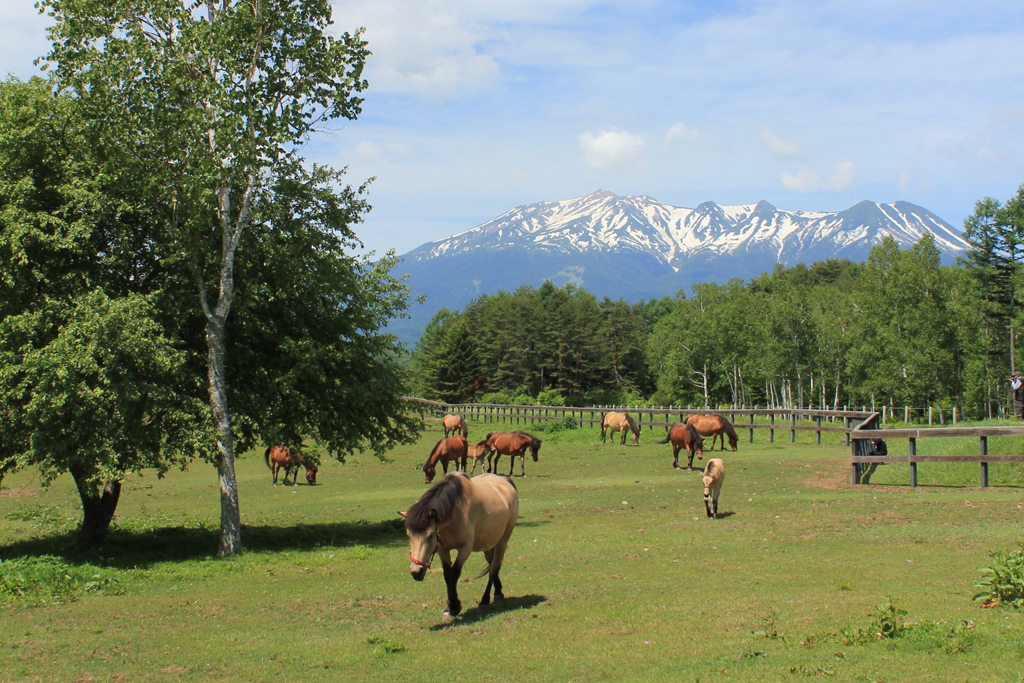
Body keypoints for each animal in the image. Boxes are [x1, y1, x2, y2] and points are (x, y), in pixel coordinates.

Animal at [401, 473, 520, 622]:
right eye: (408, 534)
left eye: (430, 535)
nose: (416, 571)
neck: (455, 511)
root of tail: (505, 481)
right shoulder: (442, 549)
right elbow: (447, 575)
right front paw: (449, 608)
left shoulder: (465, 548)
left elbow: (454, 573)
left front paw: (454, 606)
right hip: (488, 544)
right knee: (492, 563)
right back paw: (498, 592)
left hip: (502, 541)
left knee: (493, 567)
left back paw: (485, 601)